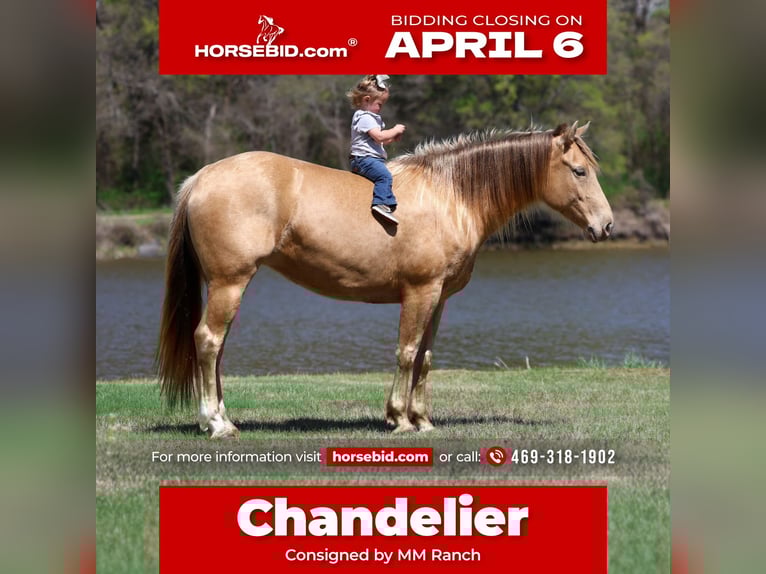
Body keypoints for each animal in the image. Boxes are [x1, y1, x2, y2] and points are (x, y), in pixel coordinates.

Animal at [156, 122, 613, 438]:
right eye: (578, 171)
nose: (607, 225)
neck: (451, 195)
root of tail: (202, 177)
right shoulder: (419, 292)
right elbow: (406, 352)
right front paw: (399, 418)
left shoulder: (439, 298)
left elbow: (425, 358)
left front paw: (423, 419)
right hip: (229, 282)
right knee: (208, 341)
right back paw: (216, 423)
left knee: (217, 347)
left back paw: (222, 418)